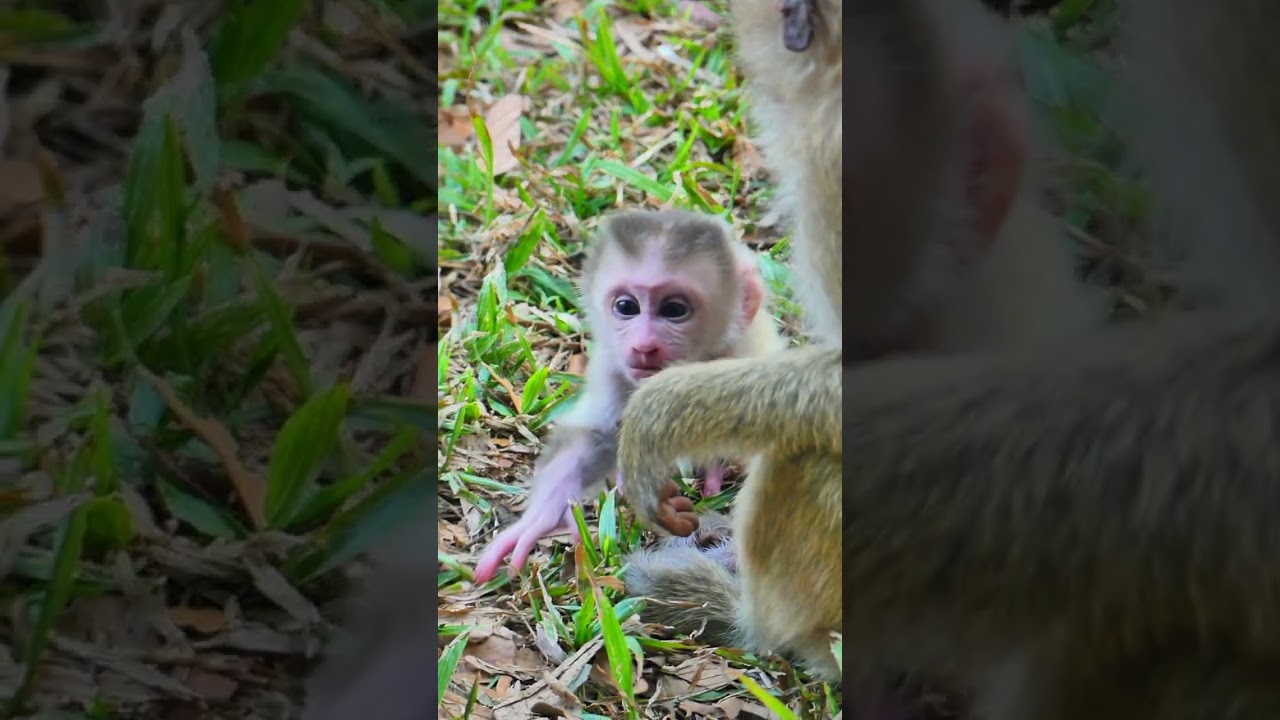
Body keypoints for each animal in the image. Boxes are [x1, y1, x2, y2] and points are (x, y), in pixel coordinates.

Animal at [470, 209, 784, 584]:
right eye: (626, 306)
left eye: (674, 310)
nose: (644, 345)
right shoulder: (614, 363)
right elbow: (597, 435)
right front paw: (541, 516)